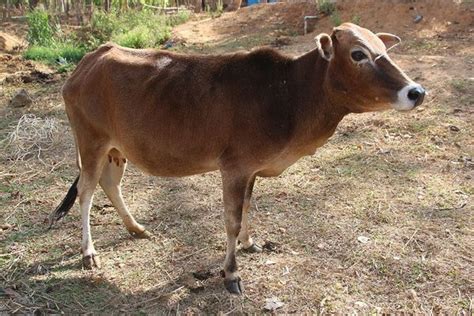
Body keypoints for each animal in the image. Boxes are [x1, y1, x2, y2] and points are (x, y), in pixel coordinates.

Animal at [49, 23, 426, 296]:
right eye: (358, 54)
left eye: (384, 49)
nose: (416, 92)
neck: (288, 93)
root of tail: (92, 58)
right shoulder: (234, 168)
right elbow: (231, 220)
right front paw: (231, 274)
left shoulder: (251, 170)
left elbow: (246, 208)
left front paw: (250, 243)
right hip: (91, 143)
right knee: (86, 192)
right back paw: (88, 253)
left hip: (117, 150)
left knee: (110, 185)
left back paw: (136, 228)